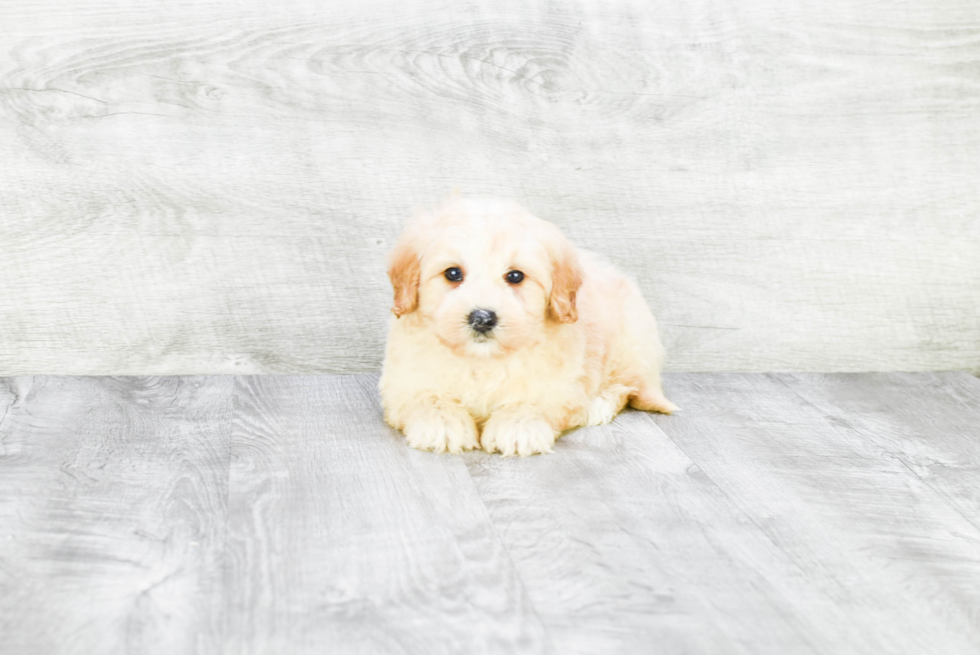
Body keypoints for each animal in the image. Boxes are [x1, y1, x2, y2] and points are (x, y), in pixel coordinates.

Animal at [378, 197, 676, 458]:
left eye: (515, 276)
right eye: (453, 273)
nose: (482, 317)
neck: (482, 361)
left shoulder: (558, 384)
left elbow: (532, 401)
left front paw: (518, 427)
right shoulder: (404, 380)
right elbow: (428, 397)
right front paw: (442, 424)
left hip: (631, 346)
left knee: (627, 388)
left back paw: (597, 405)